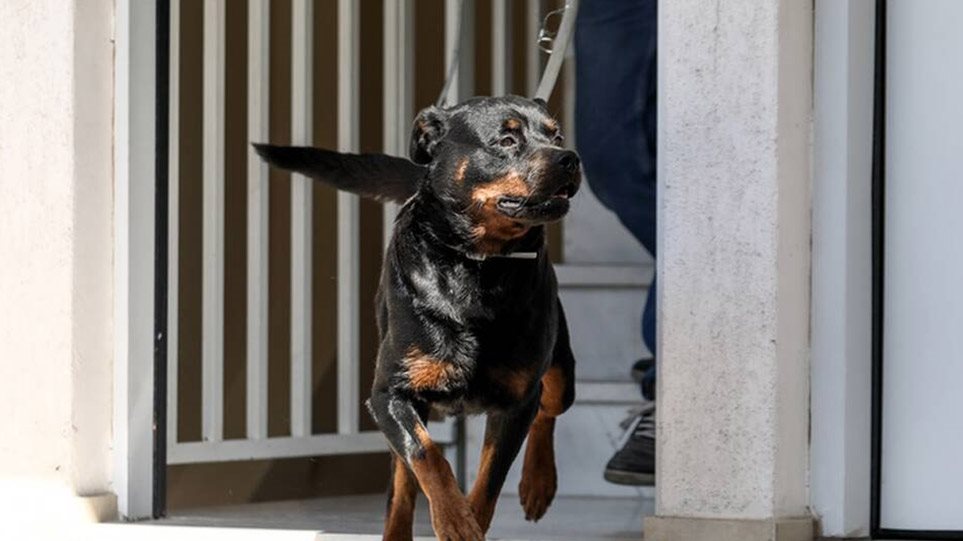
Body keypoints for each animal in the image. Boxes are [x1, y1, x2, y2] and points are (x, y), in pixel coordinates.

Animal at [252, 95, 580, 536]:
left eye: (556, 136)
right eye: (507, 139)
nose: (570, 158)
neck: (477, 266)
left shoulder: (516, 401)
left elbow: (489, 482)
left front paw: (471, 518)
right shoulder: (390, 395)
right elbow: (427, 456)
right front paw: (454, 518)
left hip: (560, 367)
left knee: (550, 406)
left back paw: (537, 482)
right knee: (401, 484)